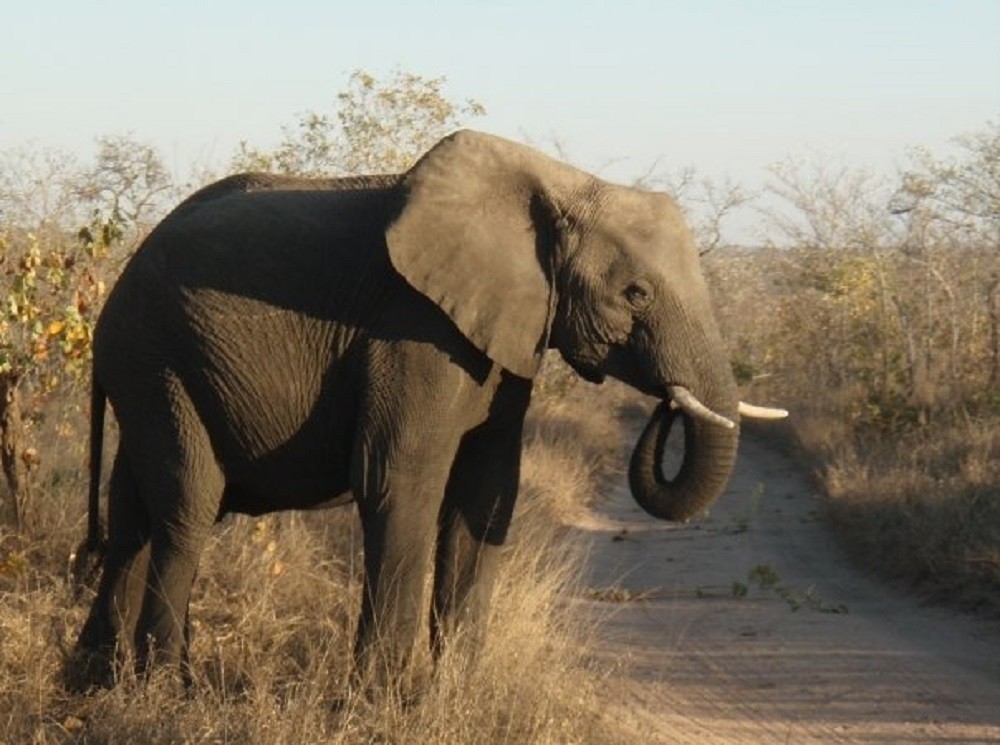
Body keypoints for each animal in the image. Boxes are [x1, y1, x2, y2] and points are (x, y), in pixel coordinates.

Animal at [74, 129, 785, 688]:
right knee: (188, 505)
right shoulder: (415, 328)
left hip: (151, 371)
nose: (665, 405)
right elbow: (400, 479)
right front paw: (381, 702)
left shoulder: (504, 331)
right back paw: (165, 689)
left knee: (133, 512)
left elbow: (487, 491)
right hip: (157, 357)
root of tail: (115, 288)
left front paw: (453, 695)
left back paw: (97, 684)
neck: (561, 184)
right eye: (635, 293)